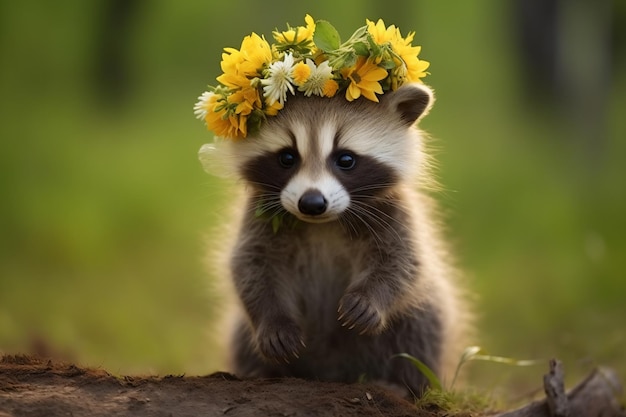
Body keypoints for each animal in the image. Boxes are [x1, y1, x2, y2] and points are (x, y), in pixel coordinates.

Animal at [202, 83, 466, 394]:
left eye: (346, 159)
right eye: (287, 158)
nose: (312, 203)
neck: (324, 223)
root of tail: (330, 375)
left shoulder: (394, 213)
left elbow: (404, 261)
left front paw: (370, 298)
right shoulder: (260, 218)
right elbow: (250, 265)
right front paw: (273, 321)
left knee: (422, 326)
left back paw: (400, 383)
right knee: (241, 334)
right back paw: (261, 371)